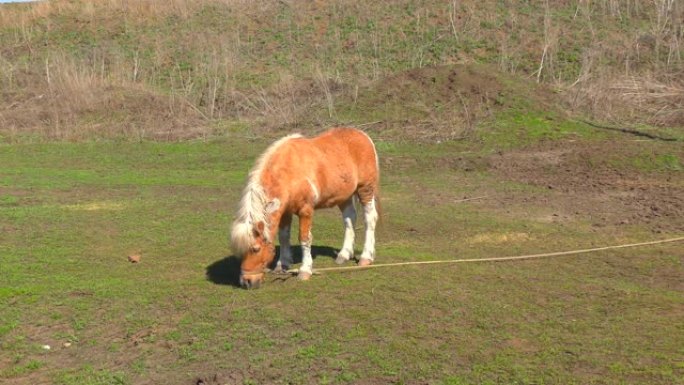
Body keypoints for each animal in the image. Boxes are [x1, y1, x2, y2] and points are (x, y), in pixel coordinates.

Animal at [230, 127, 380, 288]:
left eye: (256, 249)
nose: (246, 282)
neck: (289, 173)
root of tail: (363, 135)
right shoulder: (285, 211)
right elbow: (284, 237)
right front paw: (282, 265)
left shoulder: (306, 210)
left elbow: (304, 238)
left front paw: (305, 270)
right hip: (343, 195)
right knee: (349, 219)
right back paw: (344, 255)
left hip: (365, 189)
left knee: (370, 219)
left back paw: (366, 257)